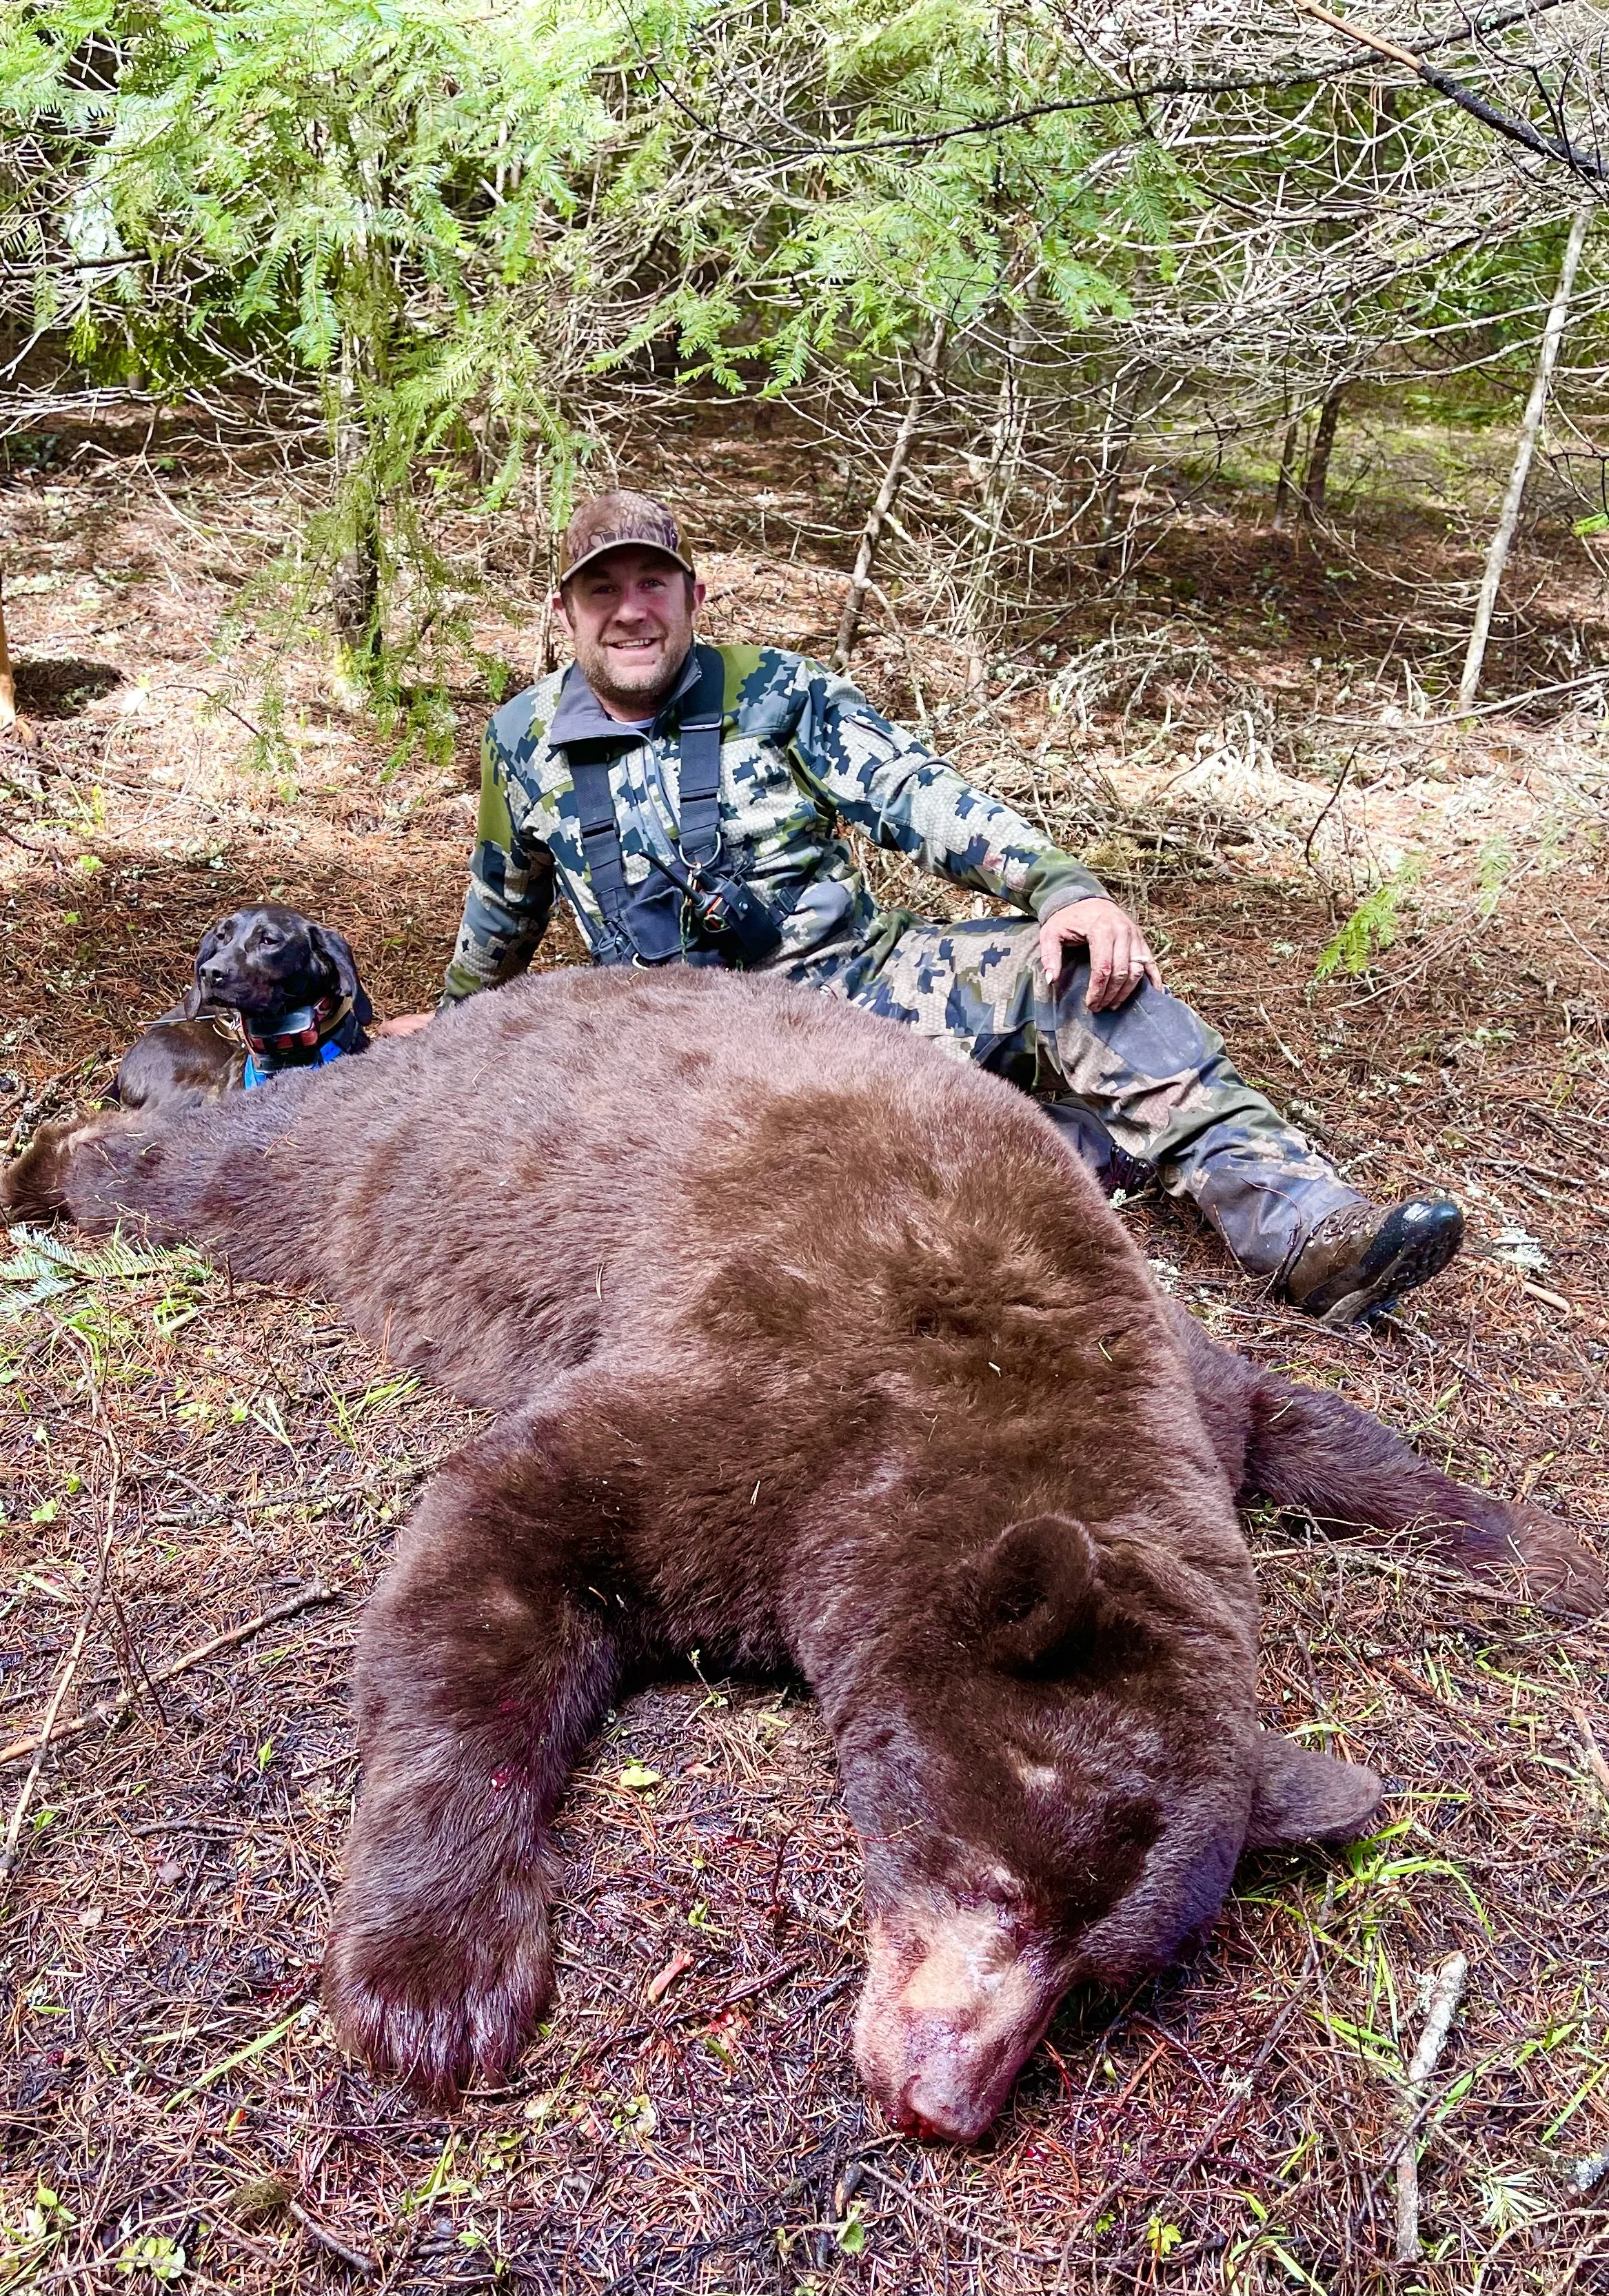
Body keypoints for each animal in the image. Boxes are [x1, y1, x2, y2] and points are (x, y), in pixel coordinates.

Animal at [4, 967, 1601, 2141]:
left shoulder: (1182, 1383)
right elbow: (497, 1541)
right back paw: (57, 1153)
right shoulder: (781, 1398)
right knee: (216, 1169)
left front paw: (1540, 1545)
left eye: (1094, 1979)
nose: (945, 2103)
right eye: (999, 1883)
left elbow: (1309, 1425)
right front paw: (435, 1982)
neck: (1004, 1395)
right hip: (396, 1143)